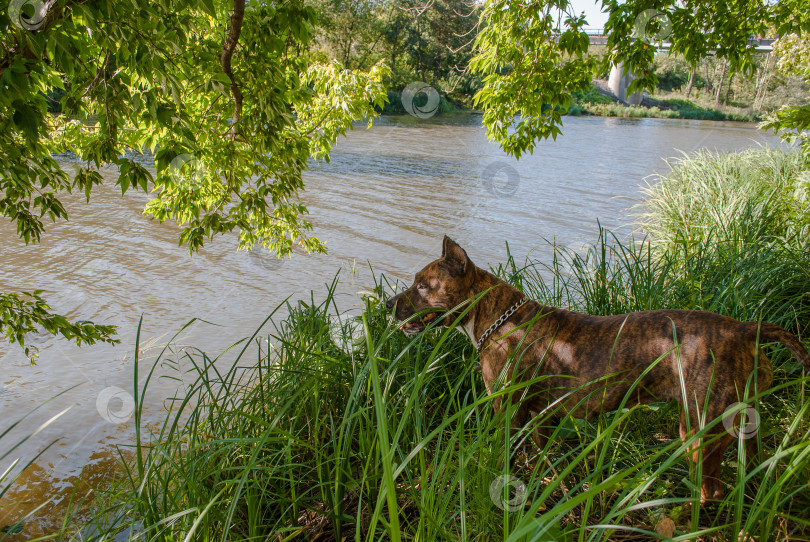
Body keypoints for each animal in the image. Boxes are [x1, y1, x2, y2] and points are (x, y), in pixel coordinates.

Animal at [386, 237, 808, 506]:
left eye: (422, 285)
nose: (388, 304)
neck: (497, 319)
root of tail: (744, 329)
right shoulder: (539, 416)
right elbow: (536, 455)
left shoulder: (504, 407)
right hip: (743, 422)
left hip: (699, 428)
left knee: (710, 490)